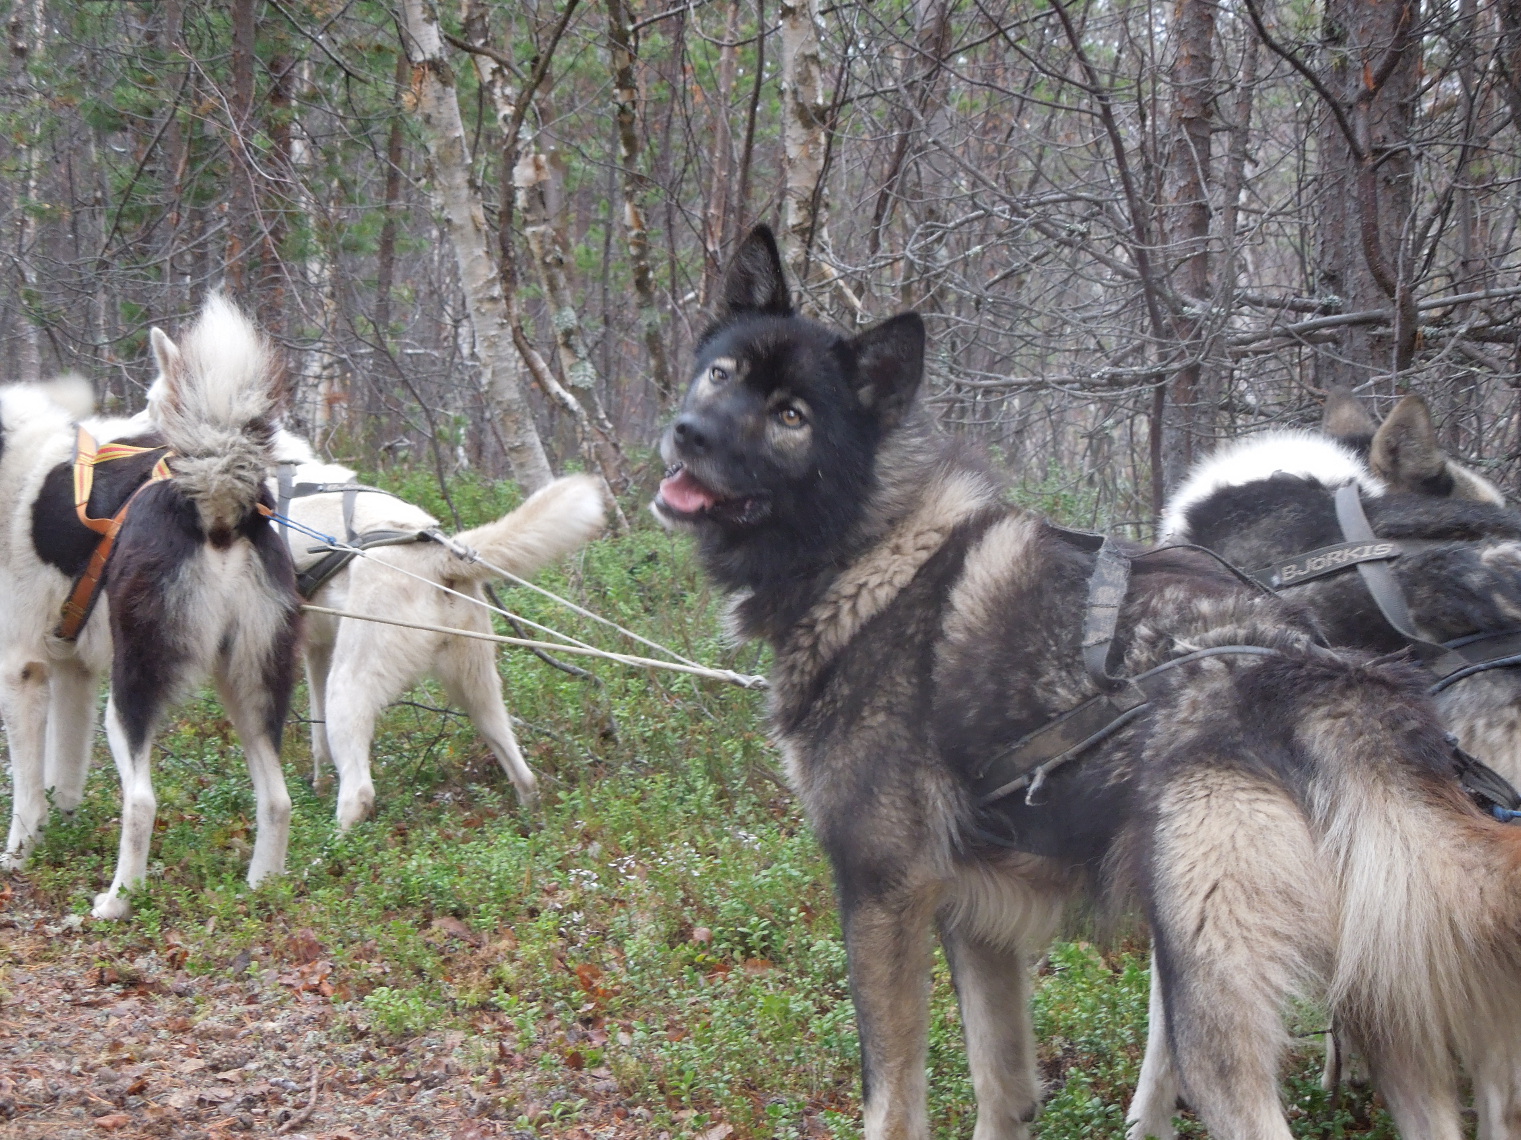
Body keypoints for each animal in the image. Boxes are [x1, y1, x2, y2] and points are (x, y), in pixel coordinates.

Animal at [0, 297, 300, 920]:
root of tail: (215, 507)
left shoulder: (21, 672)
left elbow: (25, 793)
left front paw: (18, 856)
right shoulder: (73, 672)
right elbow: (63, 778)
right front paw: (61, 829)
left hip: (131, 695)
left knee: (141, 803)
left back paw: (117, 901)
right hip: (248, 690)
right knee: (279, 799)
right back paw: (262, 885)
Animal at [255, 437, 606, 828]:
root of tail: (437, 554)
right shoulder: (316, 649)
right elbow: (318, 740)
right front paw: (318, 785)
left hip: (349, 684)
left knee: (359, 790)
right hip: (475, 688)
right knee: (522, 772)